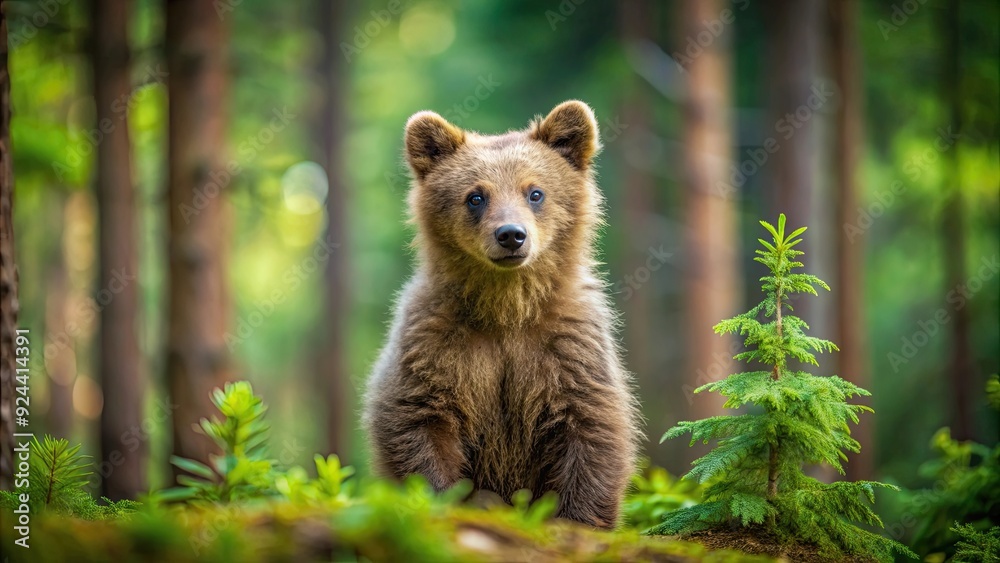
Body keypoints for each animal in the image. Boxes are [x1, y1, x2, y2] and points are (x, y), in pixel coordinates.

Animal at [362, 100, 640, 528]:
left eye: (536, 192)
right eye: (475, 196)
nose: (511, 234)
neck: (506, 308)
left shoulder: (568, 346)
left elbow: (590, 427)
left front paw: (579, 518)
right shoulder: (434, 342)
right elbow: (419, 420)